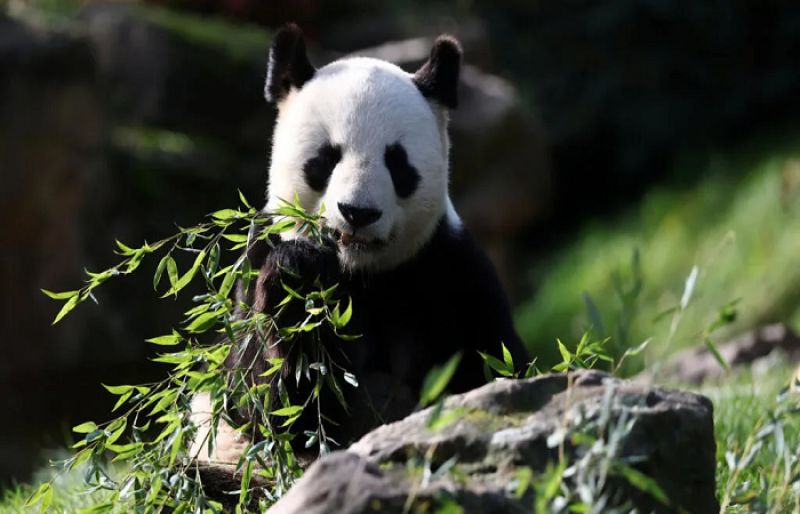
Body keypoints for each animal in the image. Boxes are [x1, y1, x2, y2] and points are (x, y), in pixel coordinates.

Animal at [190, 24, 528, 467]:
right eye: (325, 158)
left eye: (397, 162)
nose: (357, 212)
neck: (361, 272)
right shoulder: (256, 257)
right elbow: (266, 403)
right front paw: (297, 279)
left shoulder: (451, 271)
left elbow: (493, 369)